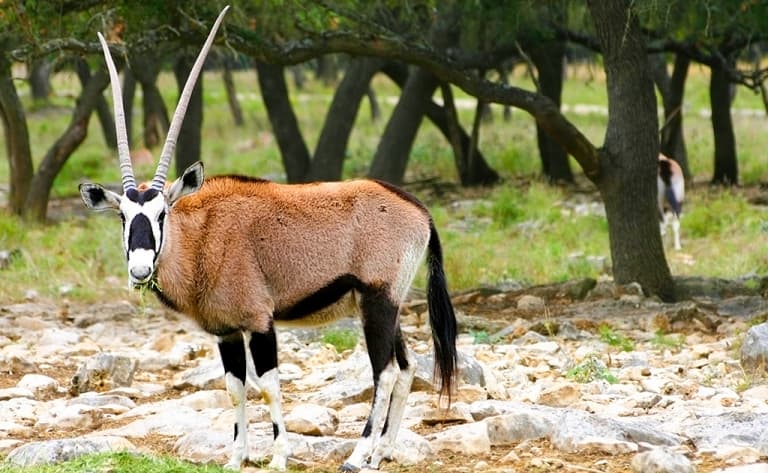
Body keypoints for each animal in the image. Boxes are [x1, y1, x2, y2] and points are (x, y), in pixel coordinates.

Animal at [79, 4, 456, 472]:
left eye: (162, 212)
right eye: (123, 217)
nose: (140, 267)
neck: (205, 236)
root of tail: (419, 210)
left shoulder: (261, 323)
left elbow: (269, 385)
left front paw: (278, 456)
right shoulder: (225, 333)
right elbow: (235, 388)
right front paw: (236, 456)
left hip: (378, 302)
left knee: (384, 372)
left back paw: (358, 454)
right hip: (388, 306)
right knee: (406, 367)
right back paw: (382, 452)